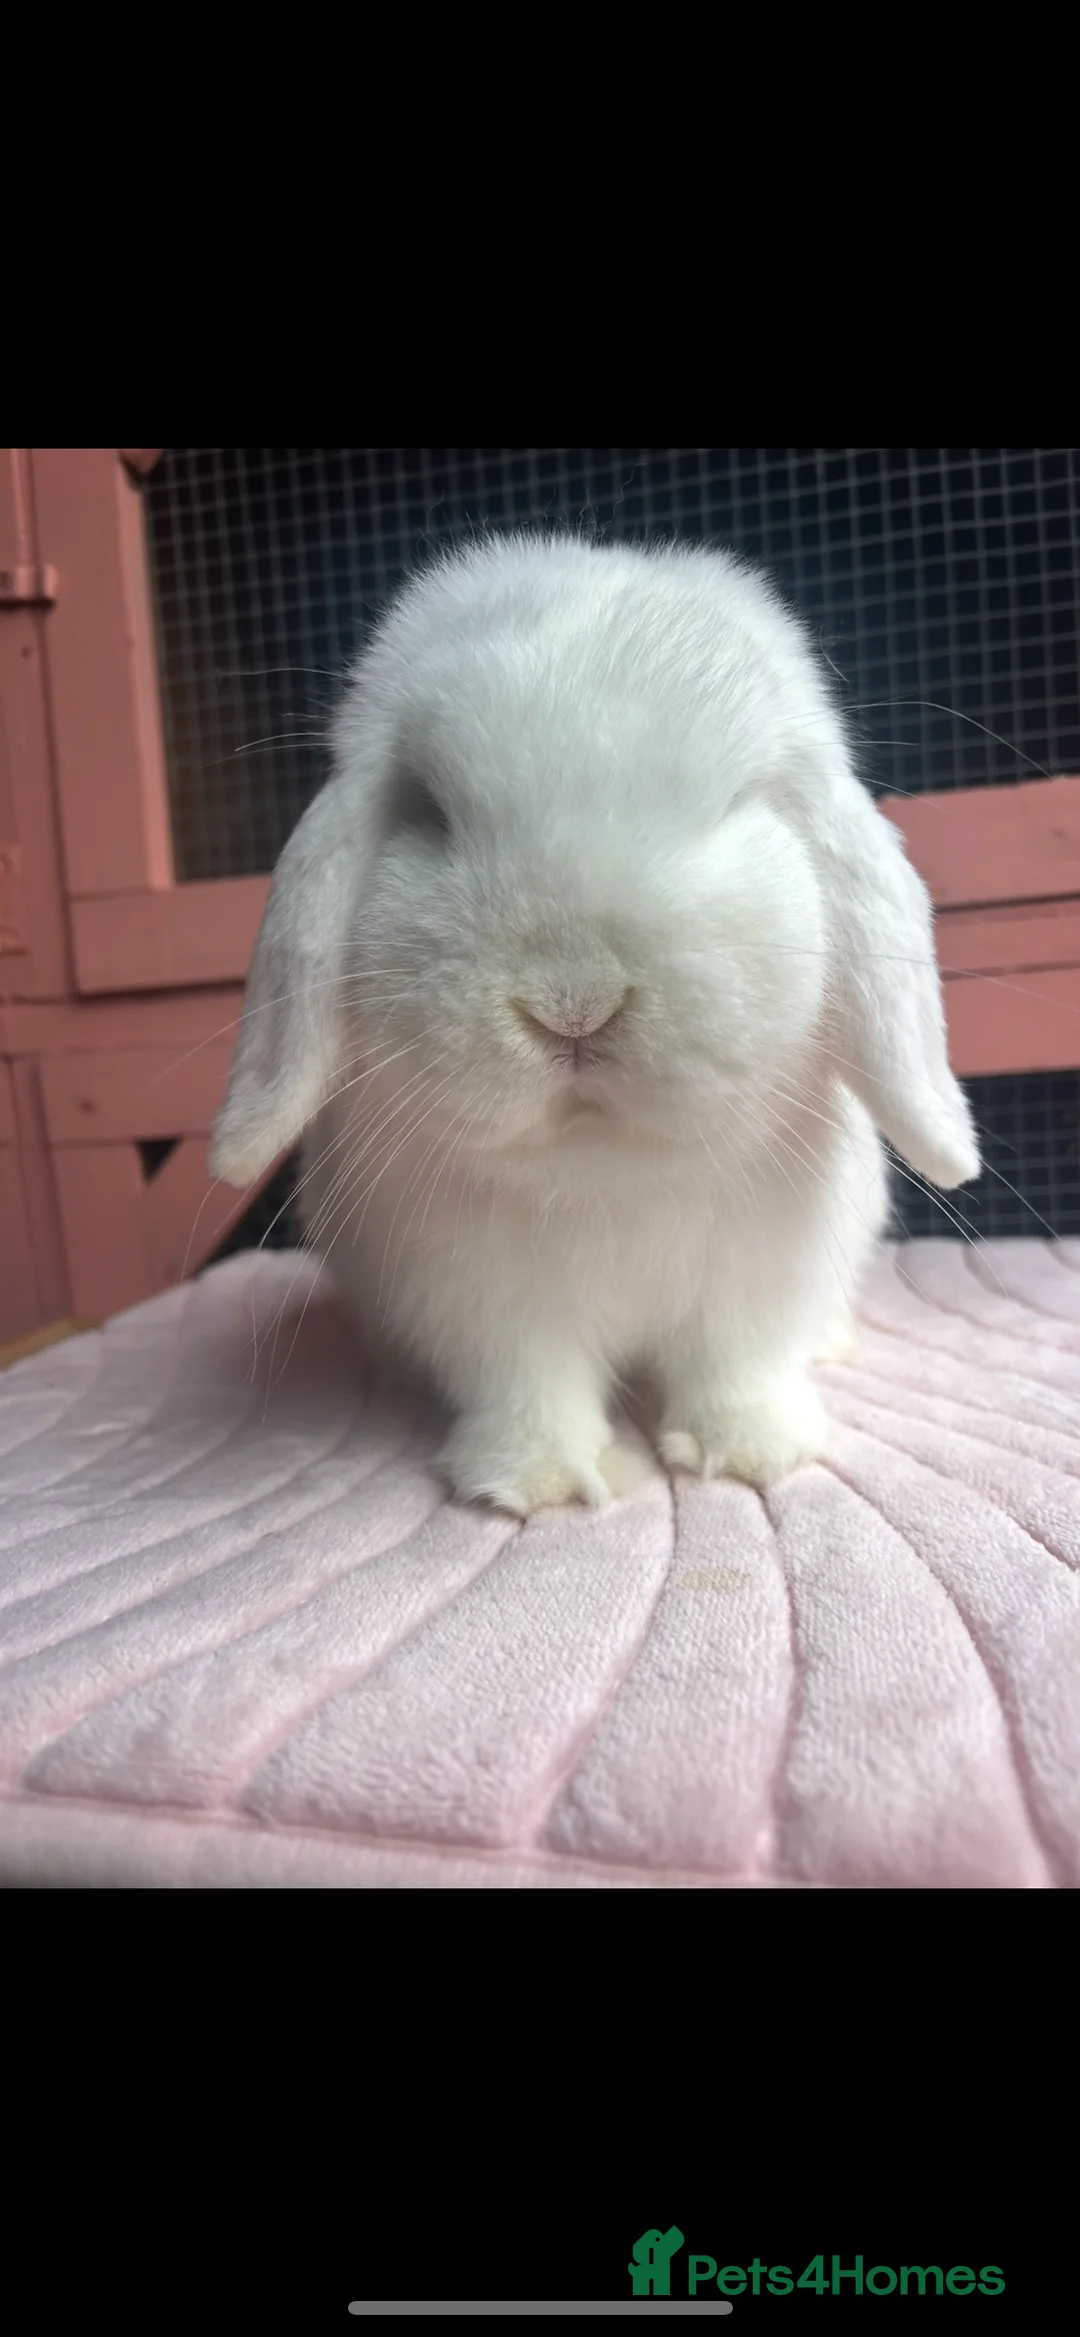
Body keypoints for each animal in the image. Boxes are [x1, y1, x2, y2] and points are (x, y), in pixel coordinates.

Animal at [210, 531, 979, 1516]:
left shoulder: (761, 1277)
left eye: (735, 804)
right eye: (429, 811)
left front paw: (754, 1452)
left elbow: (740, 1362)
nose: (573, 1002)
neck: (602, 1170)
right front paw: (538, 1483)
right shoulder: (480, 1300)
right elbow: (527, 1385)